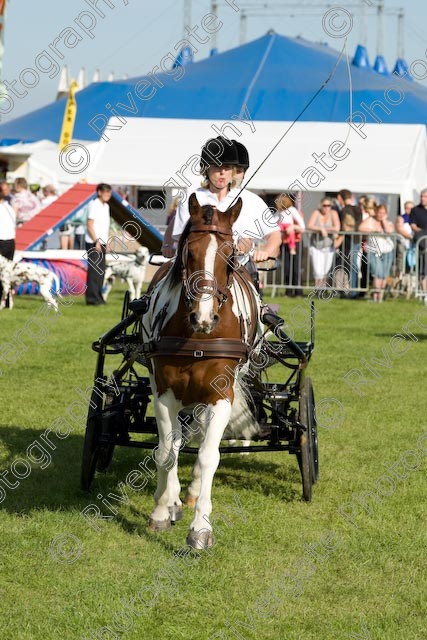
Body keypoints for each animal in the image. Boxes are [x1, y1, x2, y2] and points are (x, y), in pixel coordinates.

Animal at [143, 194, 260, 552]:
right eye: (188, 251)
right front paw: (162, 511)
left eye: (230, 253)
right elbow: (167, 452)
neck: (197, 337)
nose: (203, 317)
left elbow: (209, 456)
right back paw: (171, 499)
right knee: (175, 442)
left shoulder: (221, 394)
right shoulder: (164, 392)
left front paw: (200, 529)